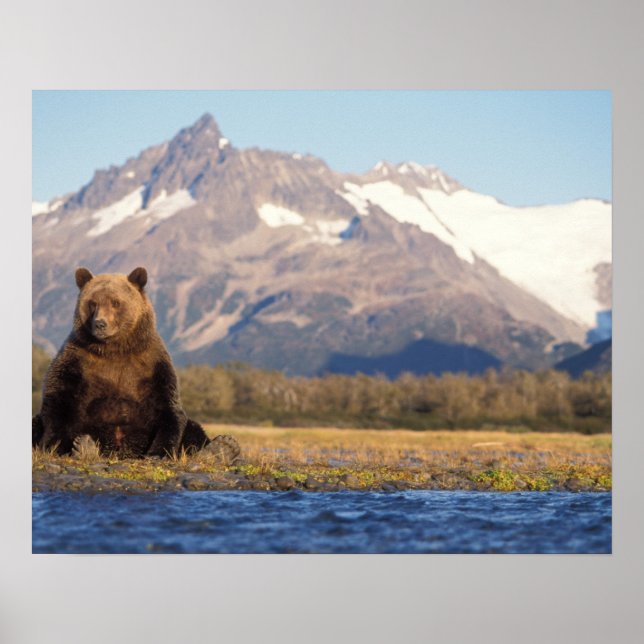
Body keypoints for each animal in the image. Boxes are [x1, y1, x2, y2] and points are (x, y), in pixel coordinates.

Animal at [32, 266, 240, 462]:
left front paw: (158, 453)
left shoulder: (151, 364)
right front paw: (55, 446)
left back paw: (223, 447)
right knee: (36, 423)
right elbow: (59, 400)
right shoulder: (77, 360)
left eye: (116, 302)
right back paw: (84, 446)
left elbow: (167, 408)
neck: (114, 349)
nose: (100, 323)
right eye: (93, 303)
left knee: (193, 428)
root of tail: (121, 451)